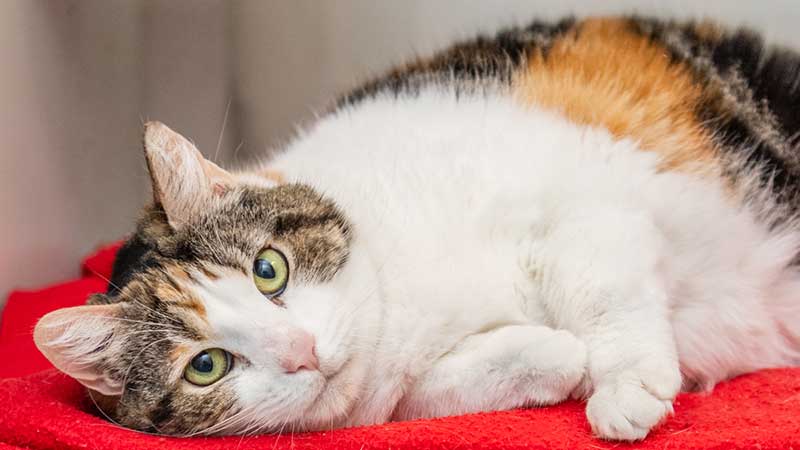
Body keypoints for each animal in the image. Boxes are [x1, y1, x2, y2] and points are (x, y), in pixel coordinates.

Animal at [34, 15, 800, 442]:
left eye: (269, 268)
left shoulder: (591, 201)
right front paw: (561, 359)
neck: (401, 295)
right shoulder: (408, 395)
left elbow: (596, 286)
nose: (301, 352)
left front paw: (625, 389)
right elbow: (458, 383)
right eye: (206, 367)